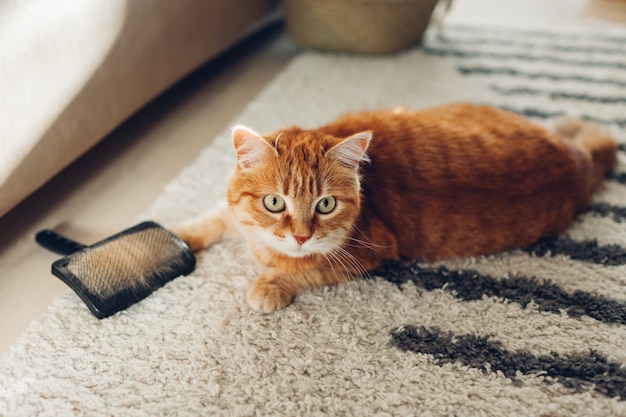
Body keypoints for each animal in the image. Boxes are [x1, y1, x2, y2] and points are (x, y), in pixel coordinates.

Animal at [173, 104, 616, 312]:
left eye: (325, 204)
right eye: (273, 201)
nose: (300, 235)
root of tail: (578, 161)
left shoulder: (368, 253)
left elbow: (303, 270)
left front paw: (269, 285)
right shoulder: (236, 215)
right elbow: (215, 218)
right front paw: (175, 237)